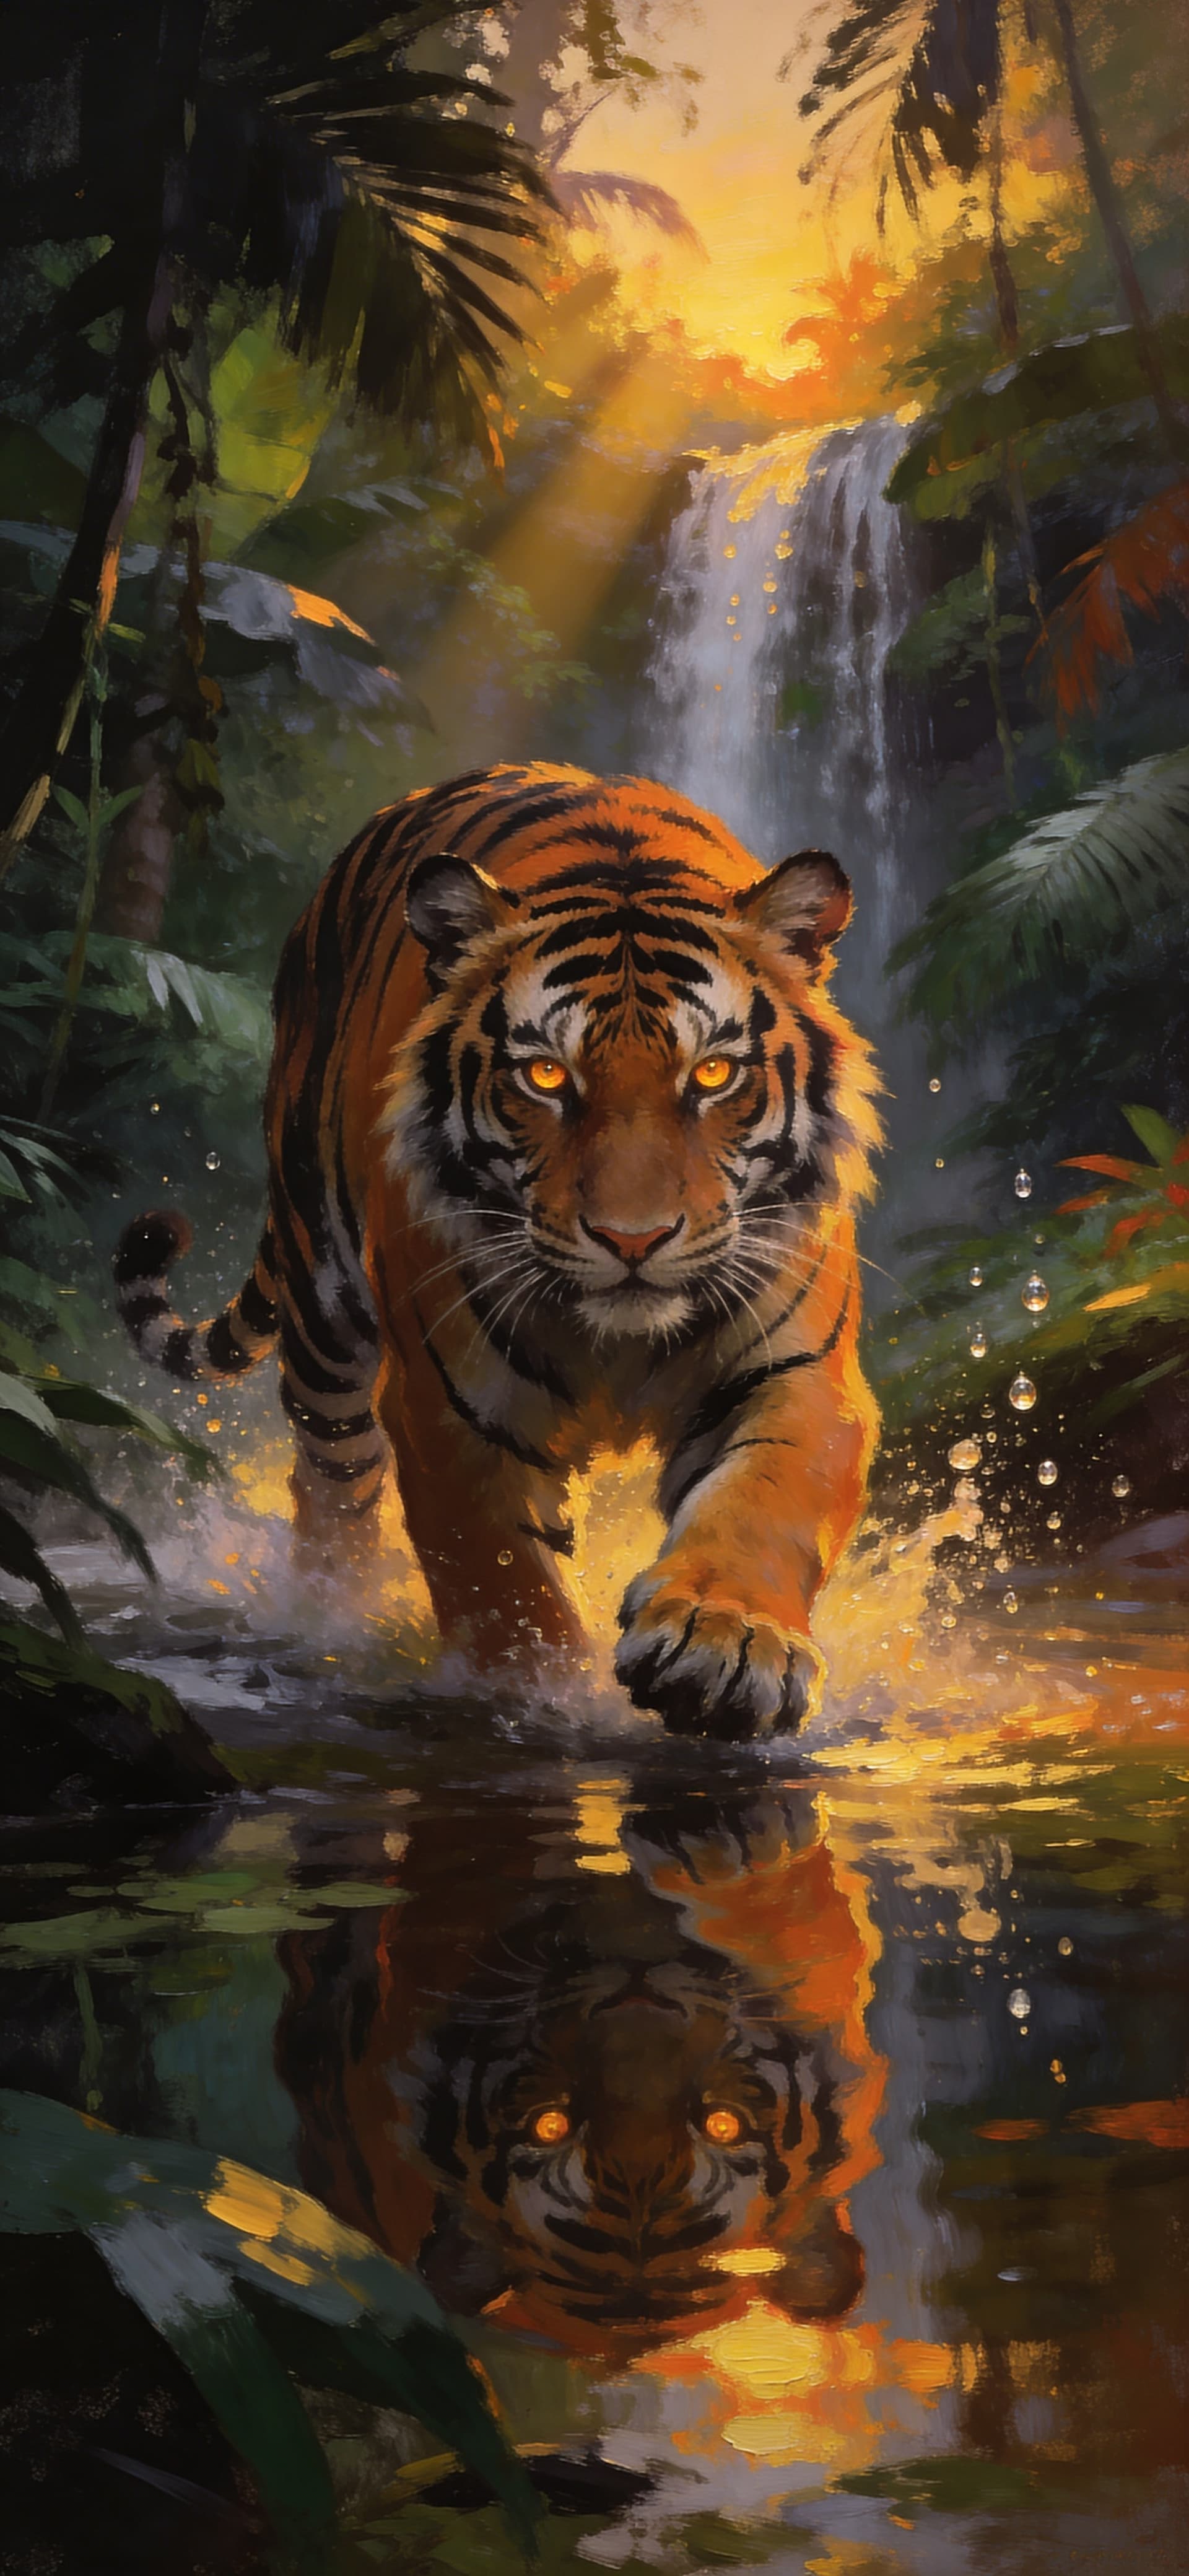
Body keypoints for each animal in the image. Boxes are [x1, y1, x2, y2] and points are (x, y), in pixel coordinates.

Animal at [114, 763, 881, 1737]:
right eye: (546, 1075)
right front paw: (539, 1695)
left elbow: (763, 1506)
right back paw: (334, 1615)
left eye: (712, 1073)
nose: (633, 1238)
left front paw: (724, 1647)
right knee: (334, 1484)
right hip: (323, 1316)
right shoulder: (452, 1409)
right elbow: (503, 1582)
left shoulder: (797, 1371)